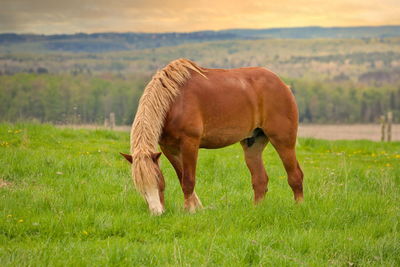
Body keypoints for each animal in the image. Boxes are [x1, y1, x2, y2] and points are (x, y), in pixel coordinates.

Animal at [121, 58, 304, 216]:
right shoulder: (168, 148)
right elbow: (181, 178)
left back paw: (298, 207)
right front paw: (196, 208)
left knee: (295, 175)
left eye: (157, 180)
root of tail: (283, 85)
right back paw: (257, 210)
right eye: (140, 186)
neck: (174, 101)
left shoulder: (190, 144)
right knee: (260, 180)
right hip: (253, 144)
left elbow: (188, 180)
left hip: (283, 140)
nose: (157, 213)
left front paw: (190, 210)